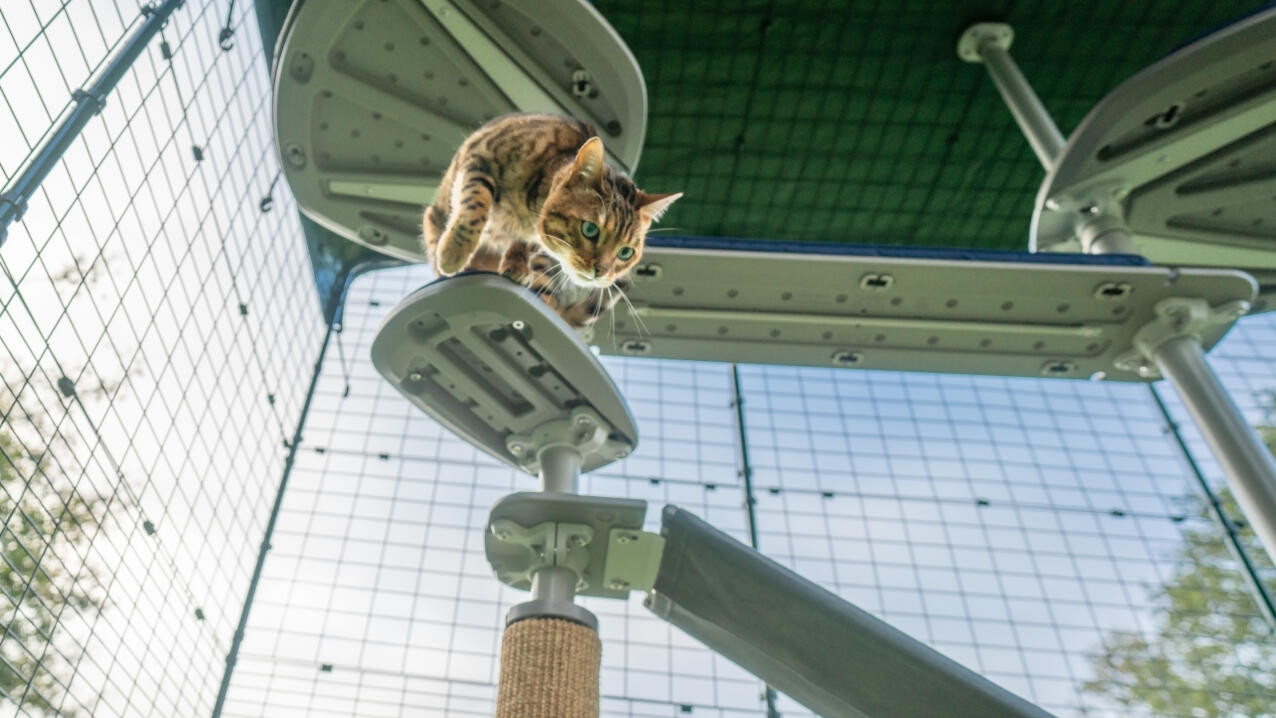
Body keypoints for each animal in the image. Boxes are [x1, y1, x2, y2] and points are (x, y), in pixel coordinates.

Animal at [421, 113, 683, 326]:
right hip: (439, 208)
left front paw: (516, 264)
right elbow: (475, 204)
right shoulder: (481, 157)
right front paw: (454, 252)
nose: (601, 271)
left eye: (625, 252)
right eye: (590, 229)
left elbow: (524, 244)